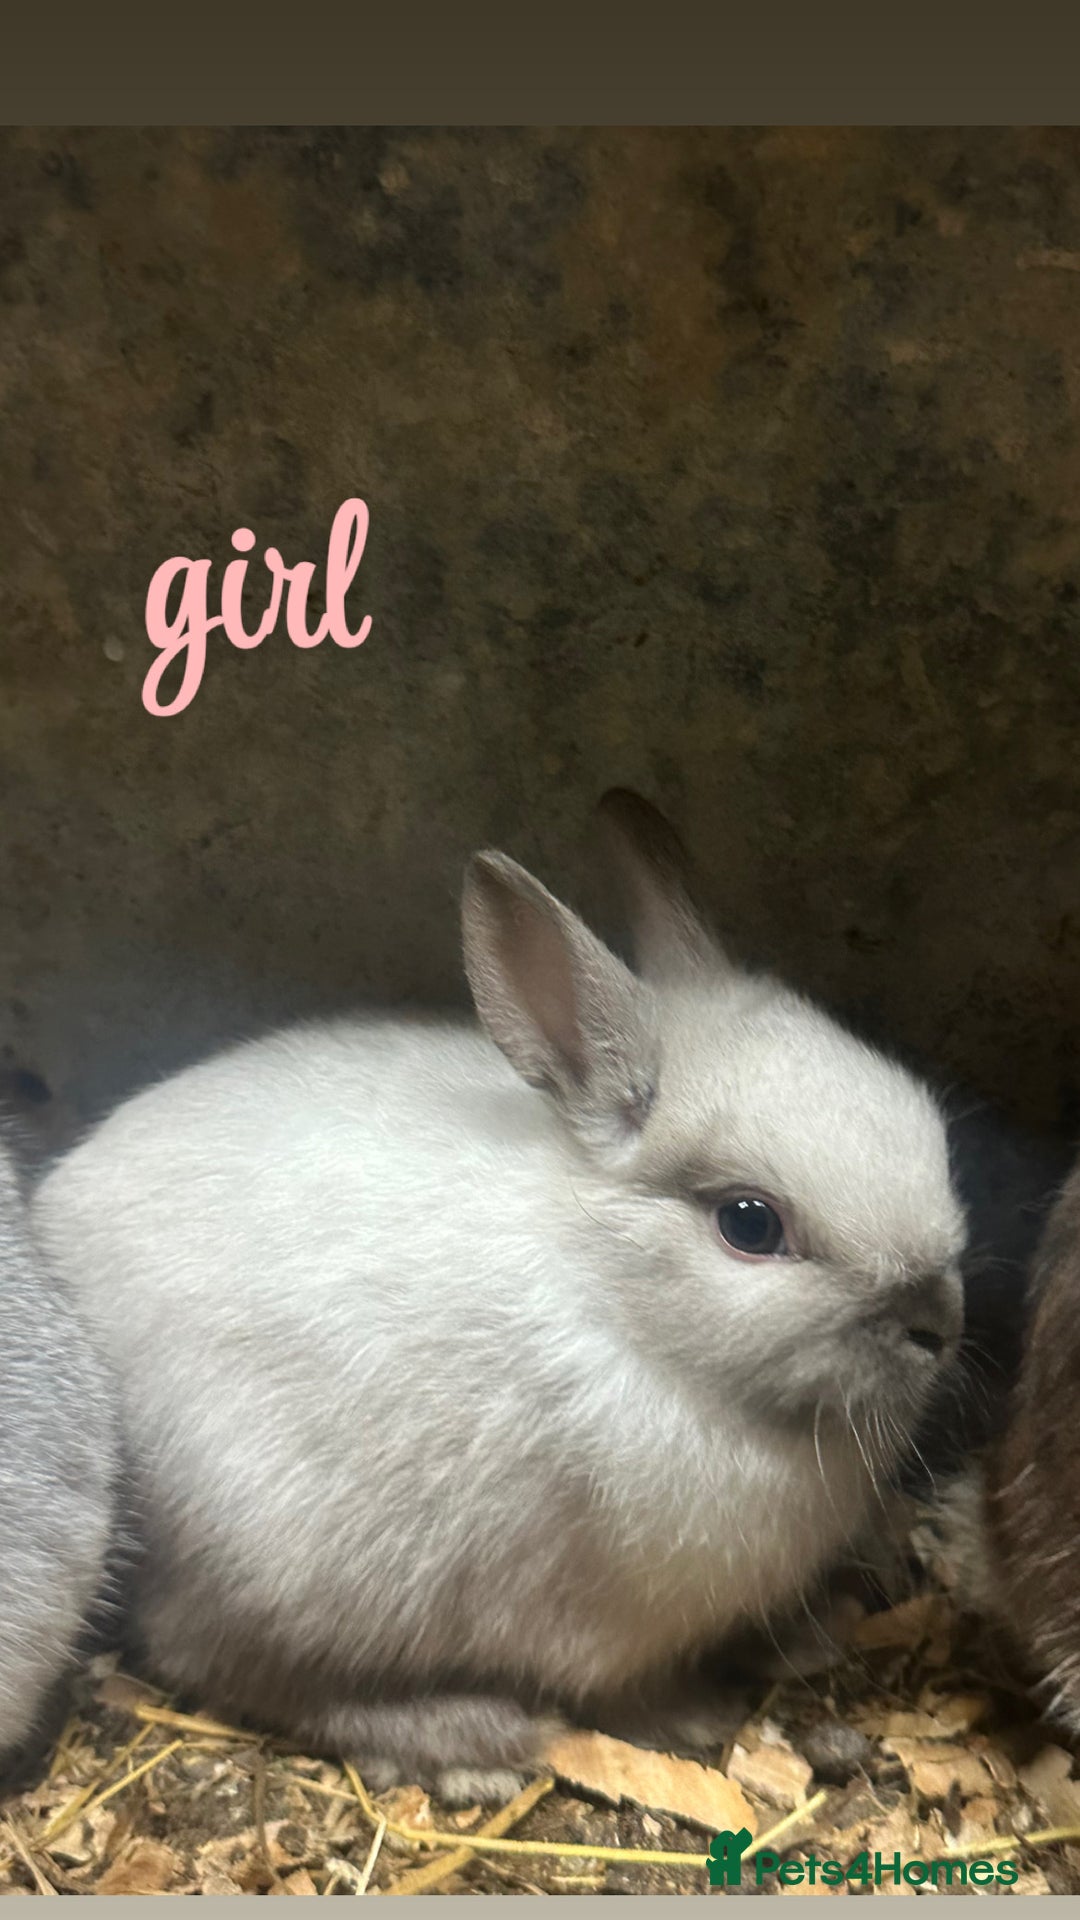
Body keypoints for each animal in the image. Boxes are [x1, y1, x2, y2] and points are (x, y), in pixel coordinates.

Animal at [31, 792, 966, 1798]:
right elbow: (627, 1692)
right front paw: (696, 1717)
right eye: (749, 1224)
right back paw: (466, 1736)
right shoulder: (602, 1625)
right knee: (220, 1663)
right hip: (270, 1561)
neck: (621, 1311)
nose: (937, 1326)